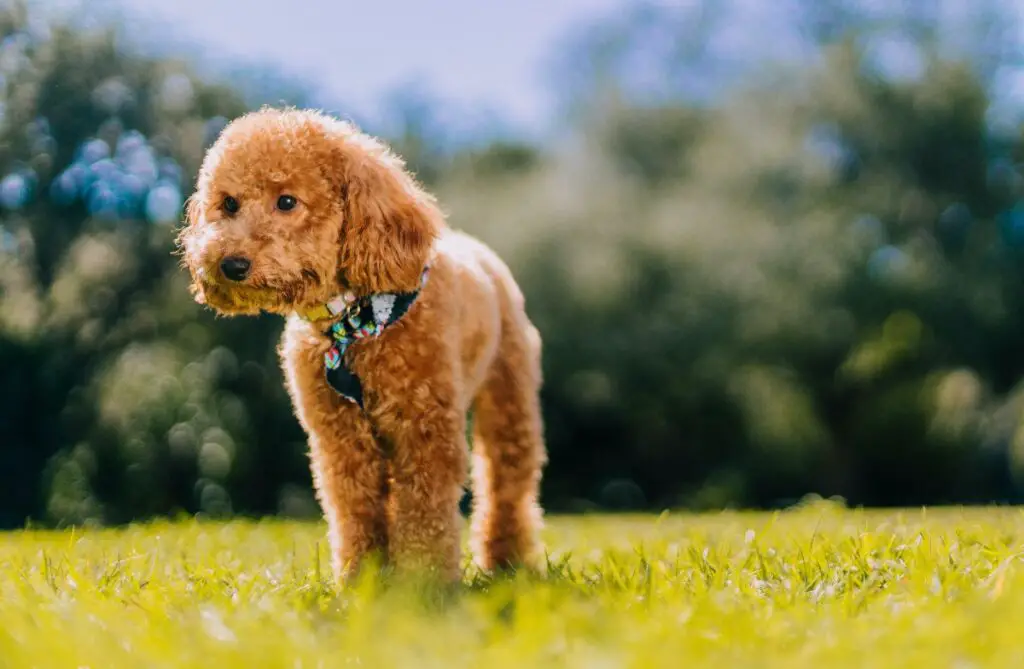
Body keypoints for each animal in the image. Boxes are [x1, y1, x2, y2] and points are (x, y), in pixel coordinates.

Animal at [178, 107, 544, 581]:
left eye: (287, 202)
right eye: (228, 204)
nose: (231, 264)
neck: (353, 324)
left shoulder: (425, 433)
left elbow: (426, 516)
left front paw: (423, 585)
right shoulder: (341, 440)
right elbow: (356, 512)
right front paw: (363, 581)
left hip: (509, 401)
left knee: (506, 484)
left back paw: (507, 562)